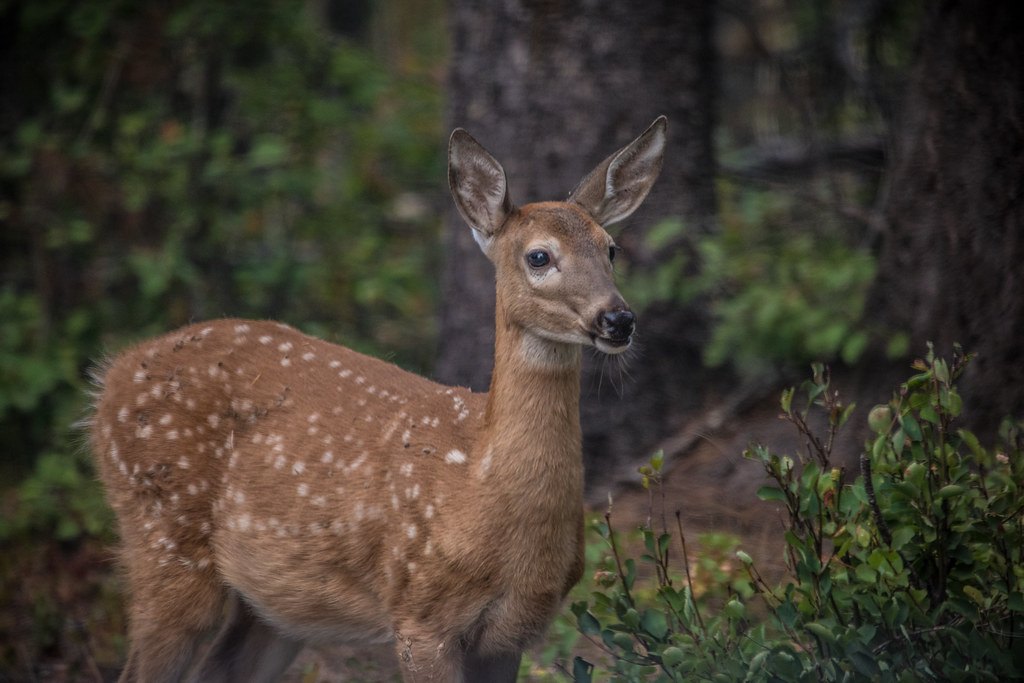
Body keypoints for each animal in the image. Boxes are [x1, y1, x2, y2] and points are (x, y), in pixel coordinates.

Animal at [88, 116, 666, 682]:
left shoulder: (512, 632)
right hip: (164, 536)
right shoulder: (419, 612)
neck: (479, 489)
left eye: (610, 248)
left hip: (277, 603)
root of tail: (111, 376)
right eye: (540, 256)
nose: (618, 319)